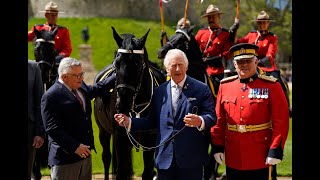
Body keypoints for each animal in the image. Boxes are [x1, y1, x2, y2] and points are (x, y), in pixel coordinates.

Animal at [93, 26, 166, 179]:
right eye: (117, 63)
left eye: (137, 65)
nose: (123, 103)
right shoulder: (121, 137)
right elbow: (121, 171)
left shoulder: (150, 138)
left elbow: (147, 172)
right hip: (103, 131)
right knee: (106, 157)